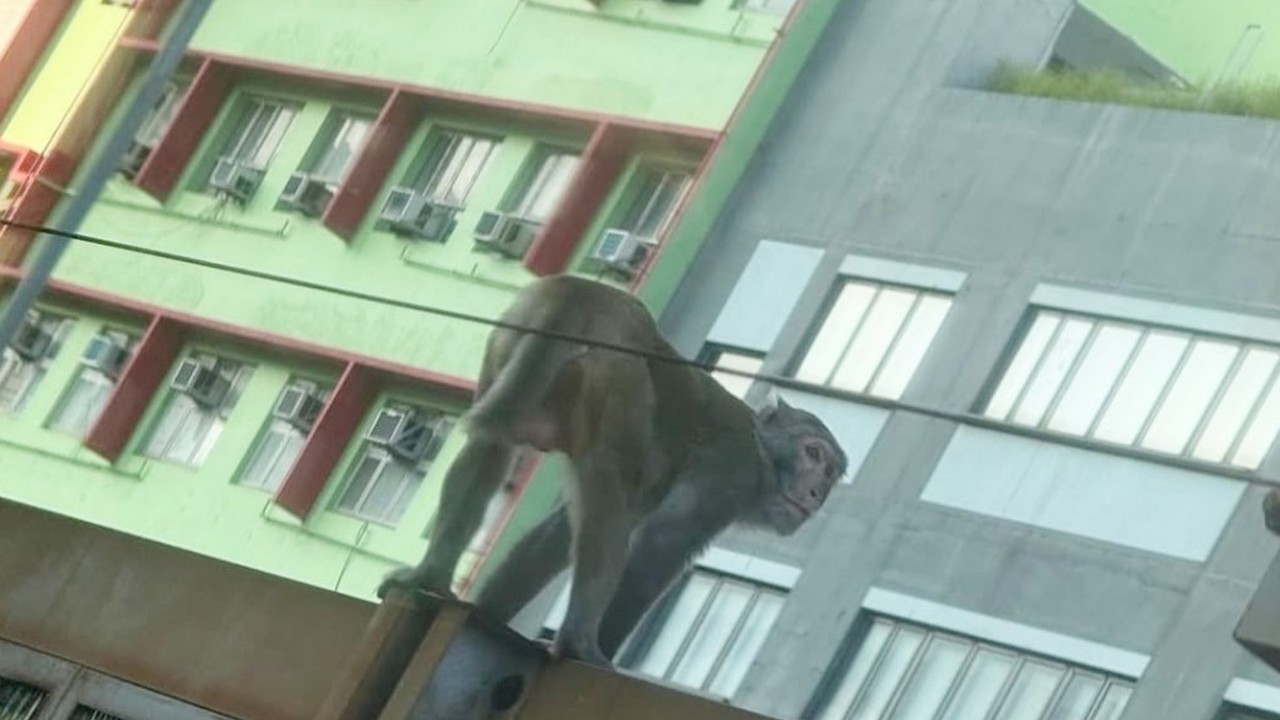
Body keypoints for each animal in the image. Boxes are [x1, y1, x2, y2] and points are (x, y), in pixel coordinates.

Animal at [378, 274, 848, 667]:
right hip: (621, 377)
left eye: (831, 473)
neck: (762, 452)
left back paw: (429, 574)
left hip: (512, 343)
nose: (817, 493)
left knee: (490, 449)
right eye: (813, 454)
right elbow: (659, 548)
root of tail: (586, 292)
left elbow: (557, 534)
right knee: (612, 488)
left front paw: (489, 610)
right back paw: (580, 639)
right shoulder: (731, 476)